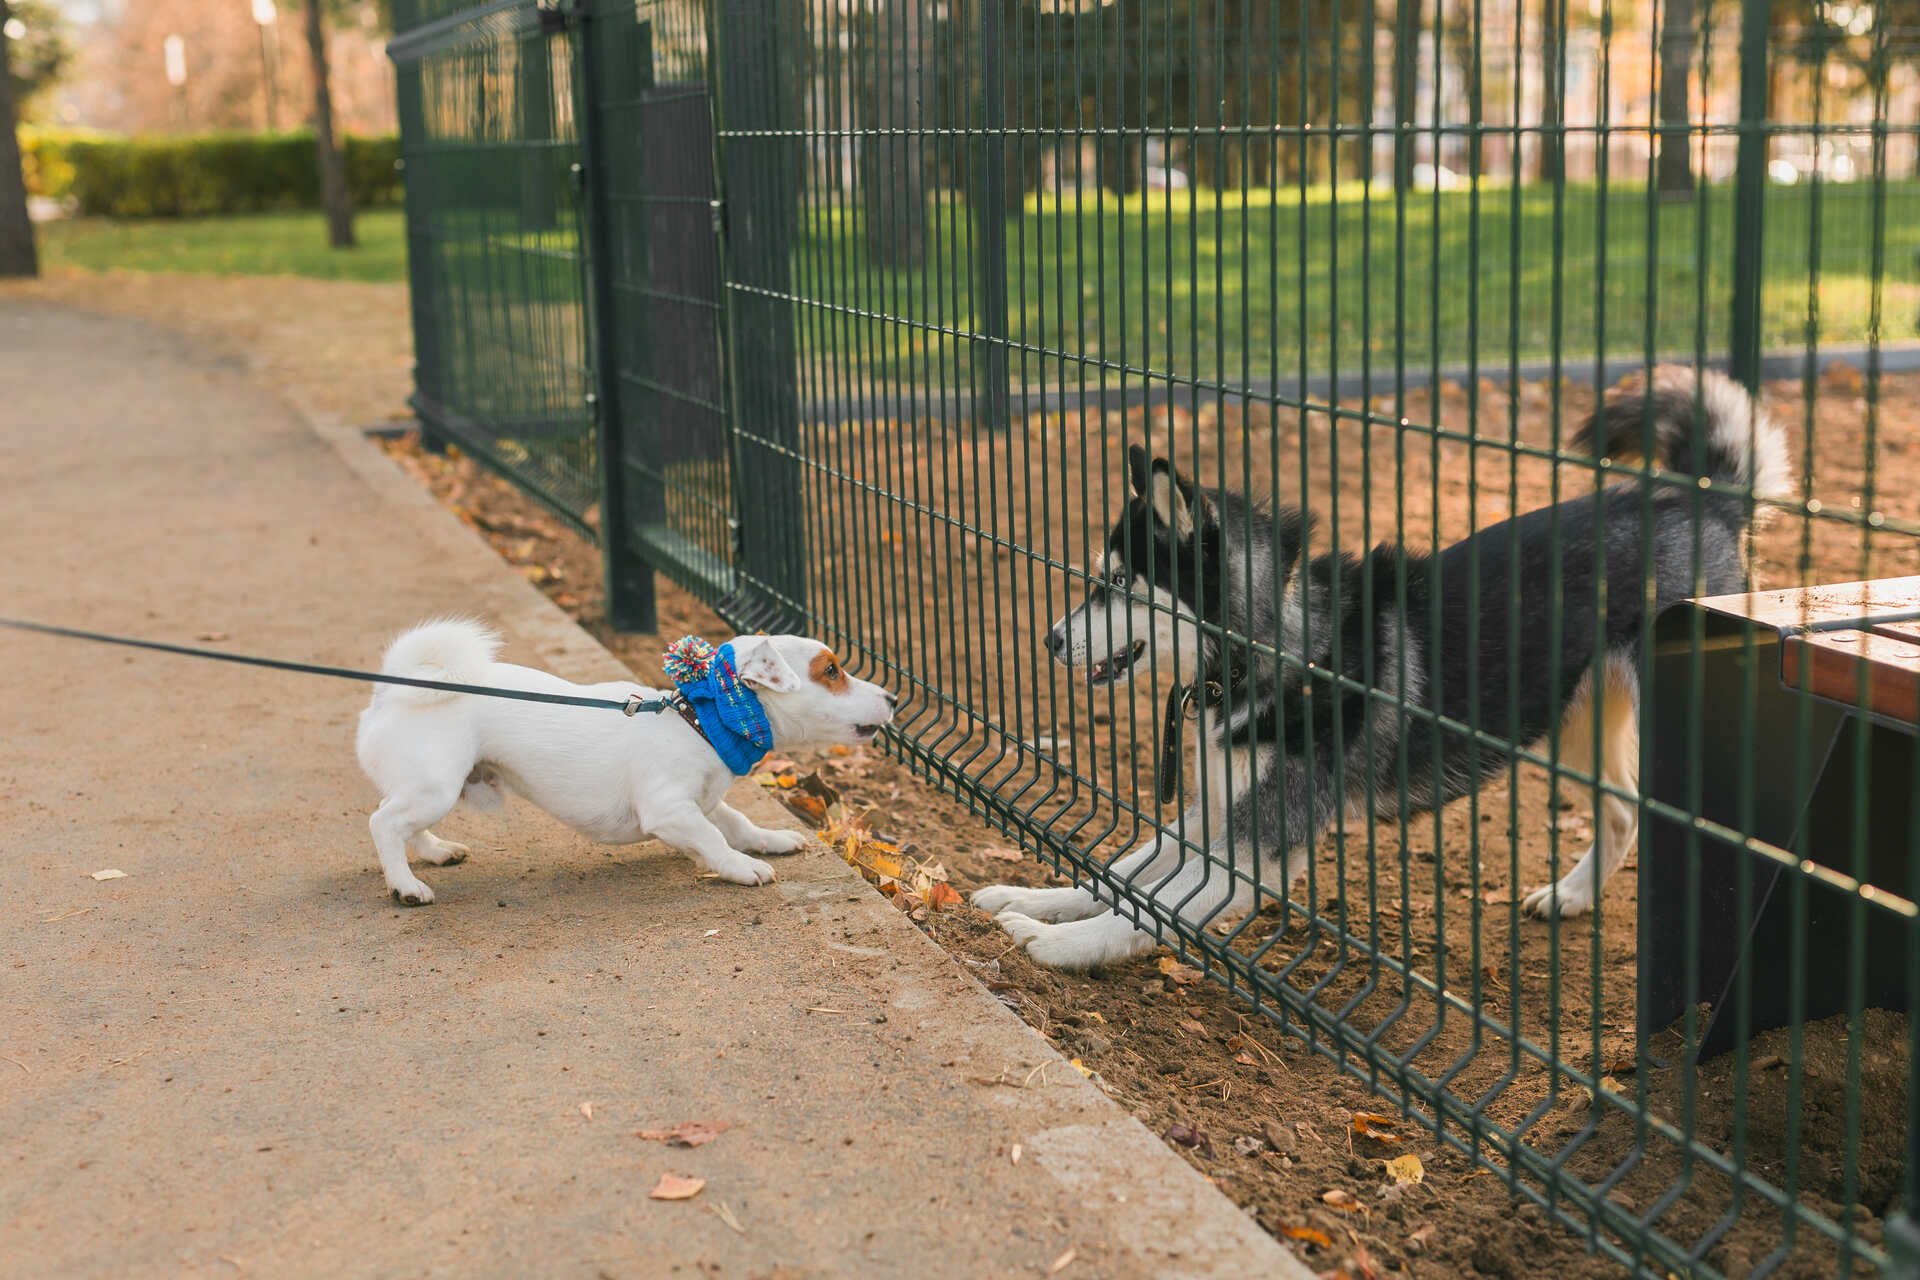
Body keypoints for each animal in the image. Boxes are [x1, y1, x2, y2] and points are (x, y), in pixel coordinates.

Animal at [357, 617, 894, 901]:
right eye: (831, 671)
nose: (892, 698)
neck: (704, 722)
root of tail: (392, 691)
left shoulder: (703, 800)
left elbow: (736, 821)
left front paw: (769, 840)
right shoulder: (669, 809)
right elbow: (714, 838)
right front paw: (742, 866)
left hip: (429, 790)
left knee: (404, 823)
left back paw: (435, 852)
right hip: (435, 786)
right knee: (383, 823)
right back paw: (405, 885)